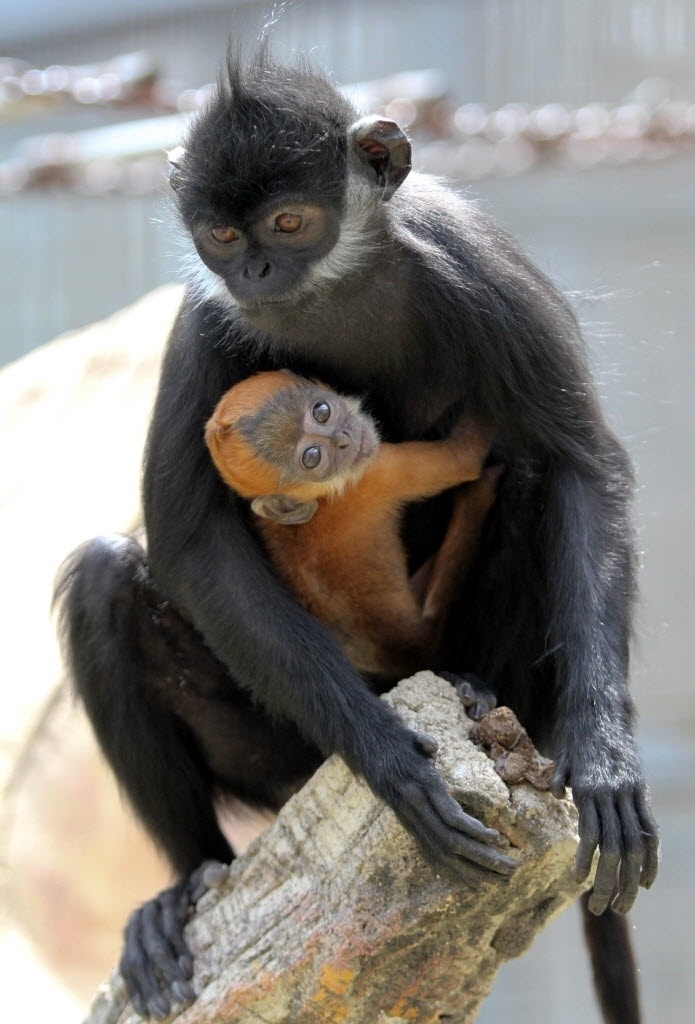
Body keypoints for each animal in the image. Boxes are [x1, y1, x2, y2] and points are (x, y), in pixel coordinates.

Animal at [205, 372, 499, 684]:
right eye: (312, 457)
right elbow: (466, 457)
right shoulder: (380, 471)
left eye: (322, 412)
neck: (320, 499)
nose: (343, 439)